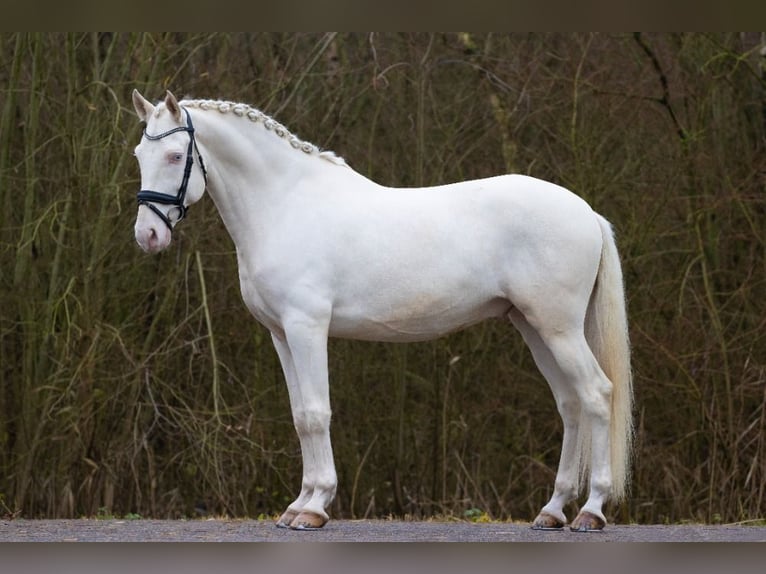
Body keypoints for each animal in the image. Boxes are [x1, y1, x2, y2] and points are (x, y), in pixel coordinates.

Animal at [134, 90, 636, 536]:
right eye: (140, 153)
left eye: (176, 156)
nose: (147, 236)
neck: (286, 206)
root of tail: (586, 212)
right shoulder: (280, 334)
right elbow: (299, 415)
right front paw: (297, 504)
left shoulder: (306, 327)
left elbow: (316, 413)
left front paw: (313, 509)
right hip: (533, 326)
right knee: (570, 403)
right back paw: (552, 511)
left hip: (559, 328)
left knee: (596, 394)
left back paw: (591, 511)